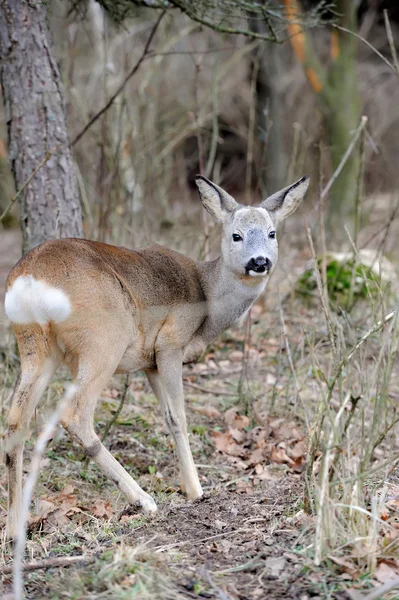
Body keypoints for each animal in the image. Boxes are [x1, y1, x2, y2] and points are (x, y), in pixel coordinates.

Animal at [3, 172, 310, 540]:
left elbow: (166, 415)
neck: (207, 299)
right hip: (105, 339)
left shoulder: (148, 361)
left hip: (35, 347)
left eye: (272, 233)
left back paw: (14, 527)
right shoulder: (170, 343)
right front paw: (196, 490)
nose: (259, 262)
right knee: (75, 415)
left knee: (15, 420)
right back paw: (143, 499)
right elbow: (179, 416)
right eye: (235, 235)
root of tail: (30, 280)